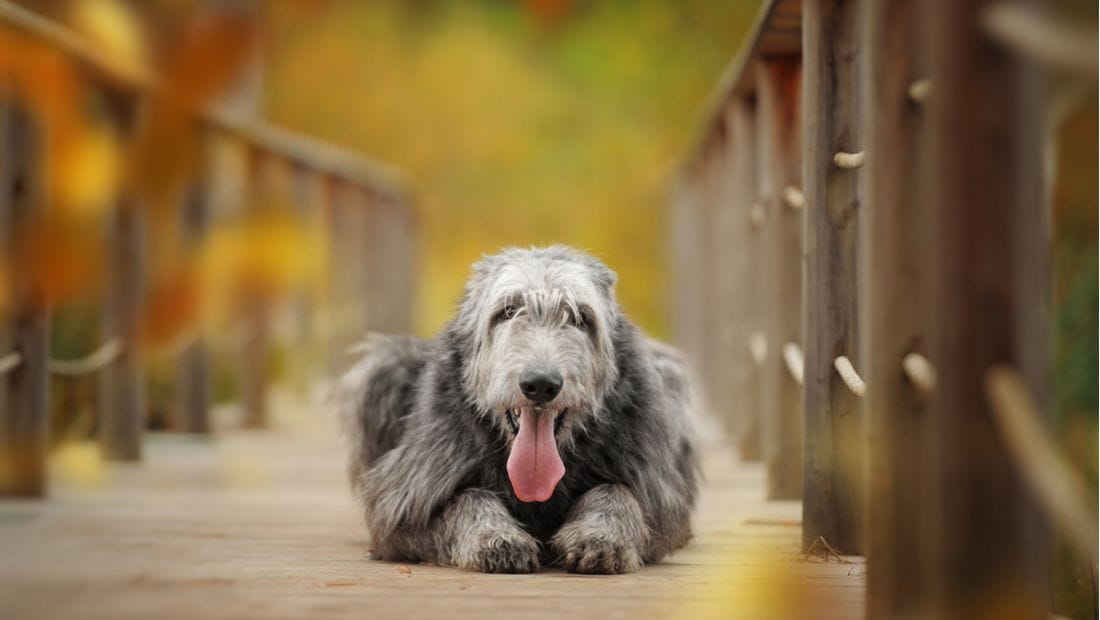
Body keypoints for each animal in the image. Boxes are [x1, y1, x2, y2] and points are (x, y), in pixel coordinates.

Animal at [330, 245, 699, 576]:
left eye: (581, 318)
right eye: (507, 311)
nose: (541, 384)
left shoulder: (659, 500)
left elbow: (618, 493)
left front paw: (600, 538)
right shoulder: (401, 508)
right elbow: (467, 498)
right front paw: (497, 539)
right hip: (385, 369)